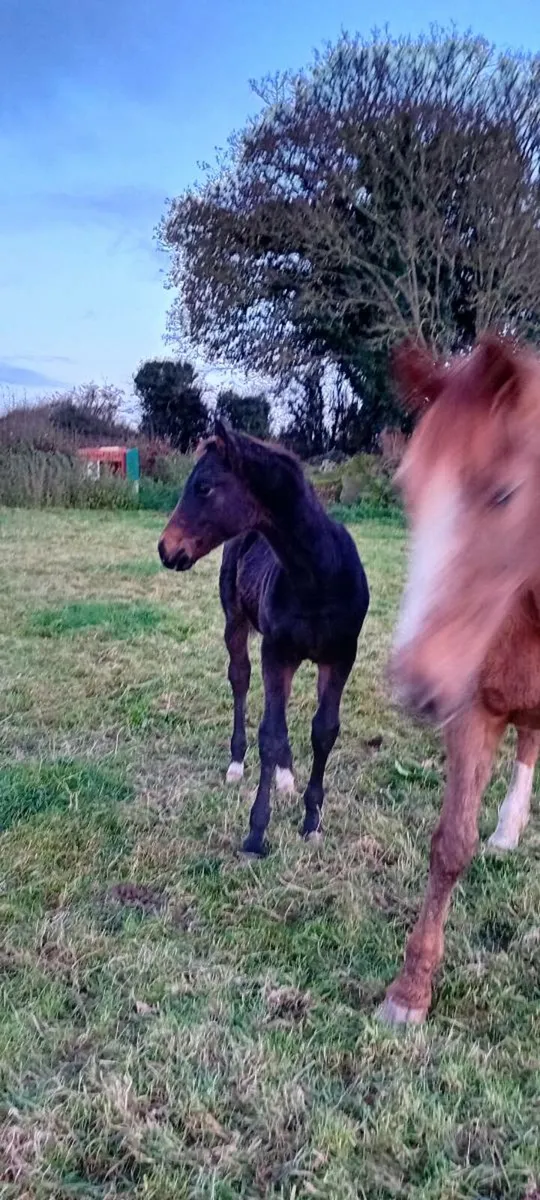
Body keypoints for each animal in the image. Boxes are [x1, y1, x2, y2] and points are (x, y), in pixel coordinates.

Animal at [158, 421, 370, 857]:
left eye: (204, 486)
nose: (165, 549)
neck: (319, 577)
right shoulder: (276, 652)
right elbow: (269, 735)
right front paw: (256, 833)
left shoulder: (341, 656)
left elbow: (324, 730)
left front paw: (312, 821)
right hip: (237, 624)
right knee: (240, 679)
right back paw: (237, 763)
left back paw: (287, 776)